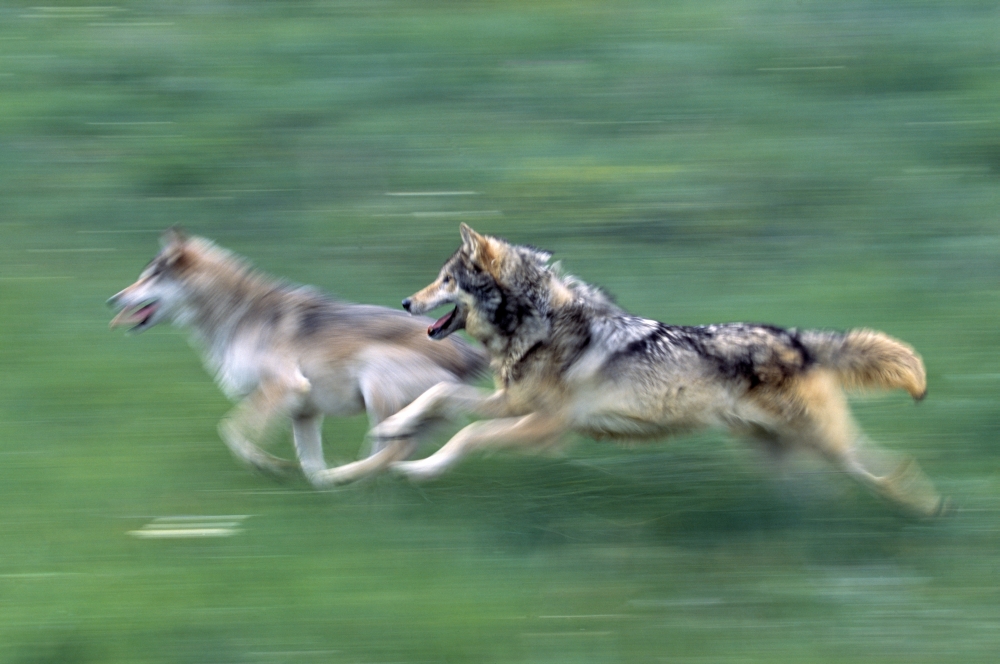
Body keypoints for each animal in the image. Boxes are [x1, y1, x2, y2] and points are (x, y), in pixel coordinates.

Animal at [108, 228, 486, 487]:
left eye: (149, 278)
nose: (112, 299)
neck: (237, 316)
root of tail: (472, 354)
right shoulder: (304, 412)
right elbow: (308, 463)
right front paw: (313, 484)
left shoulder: (285, 387)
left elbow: (231, 431)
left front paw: (265, 464)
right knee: (390, 453)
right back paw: (352, 482)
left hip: (378, 384)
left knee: (394, 451)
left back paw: (349, 477)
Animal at [371, 223, 950, 518]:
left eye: (446, 280)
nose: (404, 302)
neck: (538, 323)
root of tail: (798, 339)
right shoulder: (512, 403)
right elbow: (441, 397)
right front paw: (392, 428)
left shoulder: (544, 427)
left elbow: (467, 437)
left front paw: (420, 468)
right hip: (779, 450)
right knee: (829, 486)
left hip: (824, 443)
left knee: (884, 467)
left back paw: (925, 507)